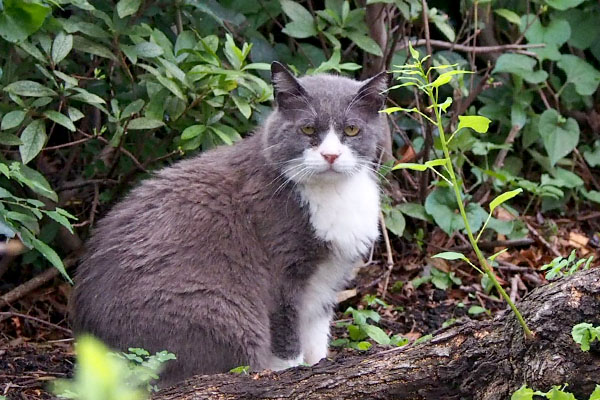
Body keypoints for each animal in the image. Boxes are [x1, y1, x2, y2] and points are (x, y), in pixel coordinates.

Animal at [70, 61, 390, 384]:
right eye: (308, 128)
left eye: (351, 129)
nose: (330, 155)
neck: (332, 192)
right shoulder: (281, 271)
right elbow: (287, 340)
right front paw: (290, 375)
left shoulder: (325, 282)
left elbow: (316, 336)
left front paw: (319, 367)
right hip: (220, 314)